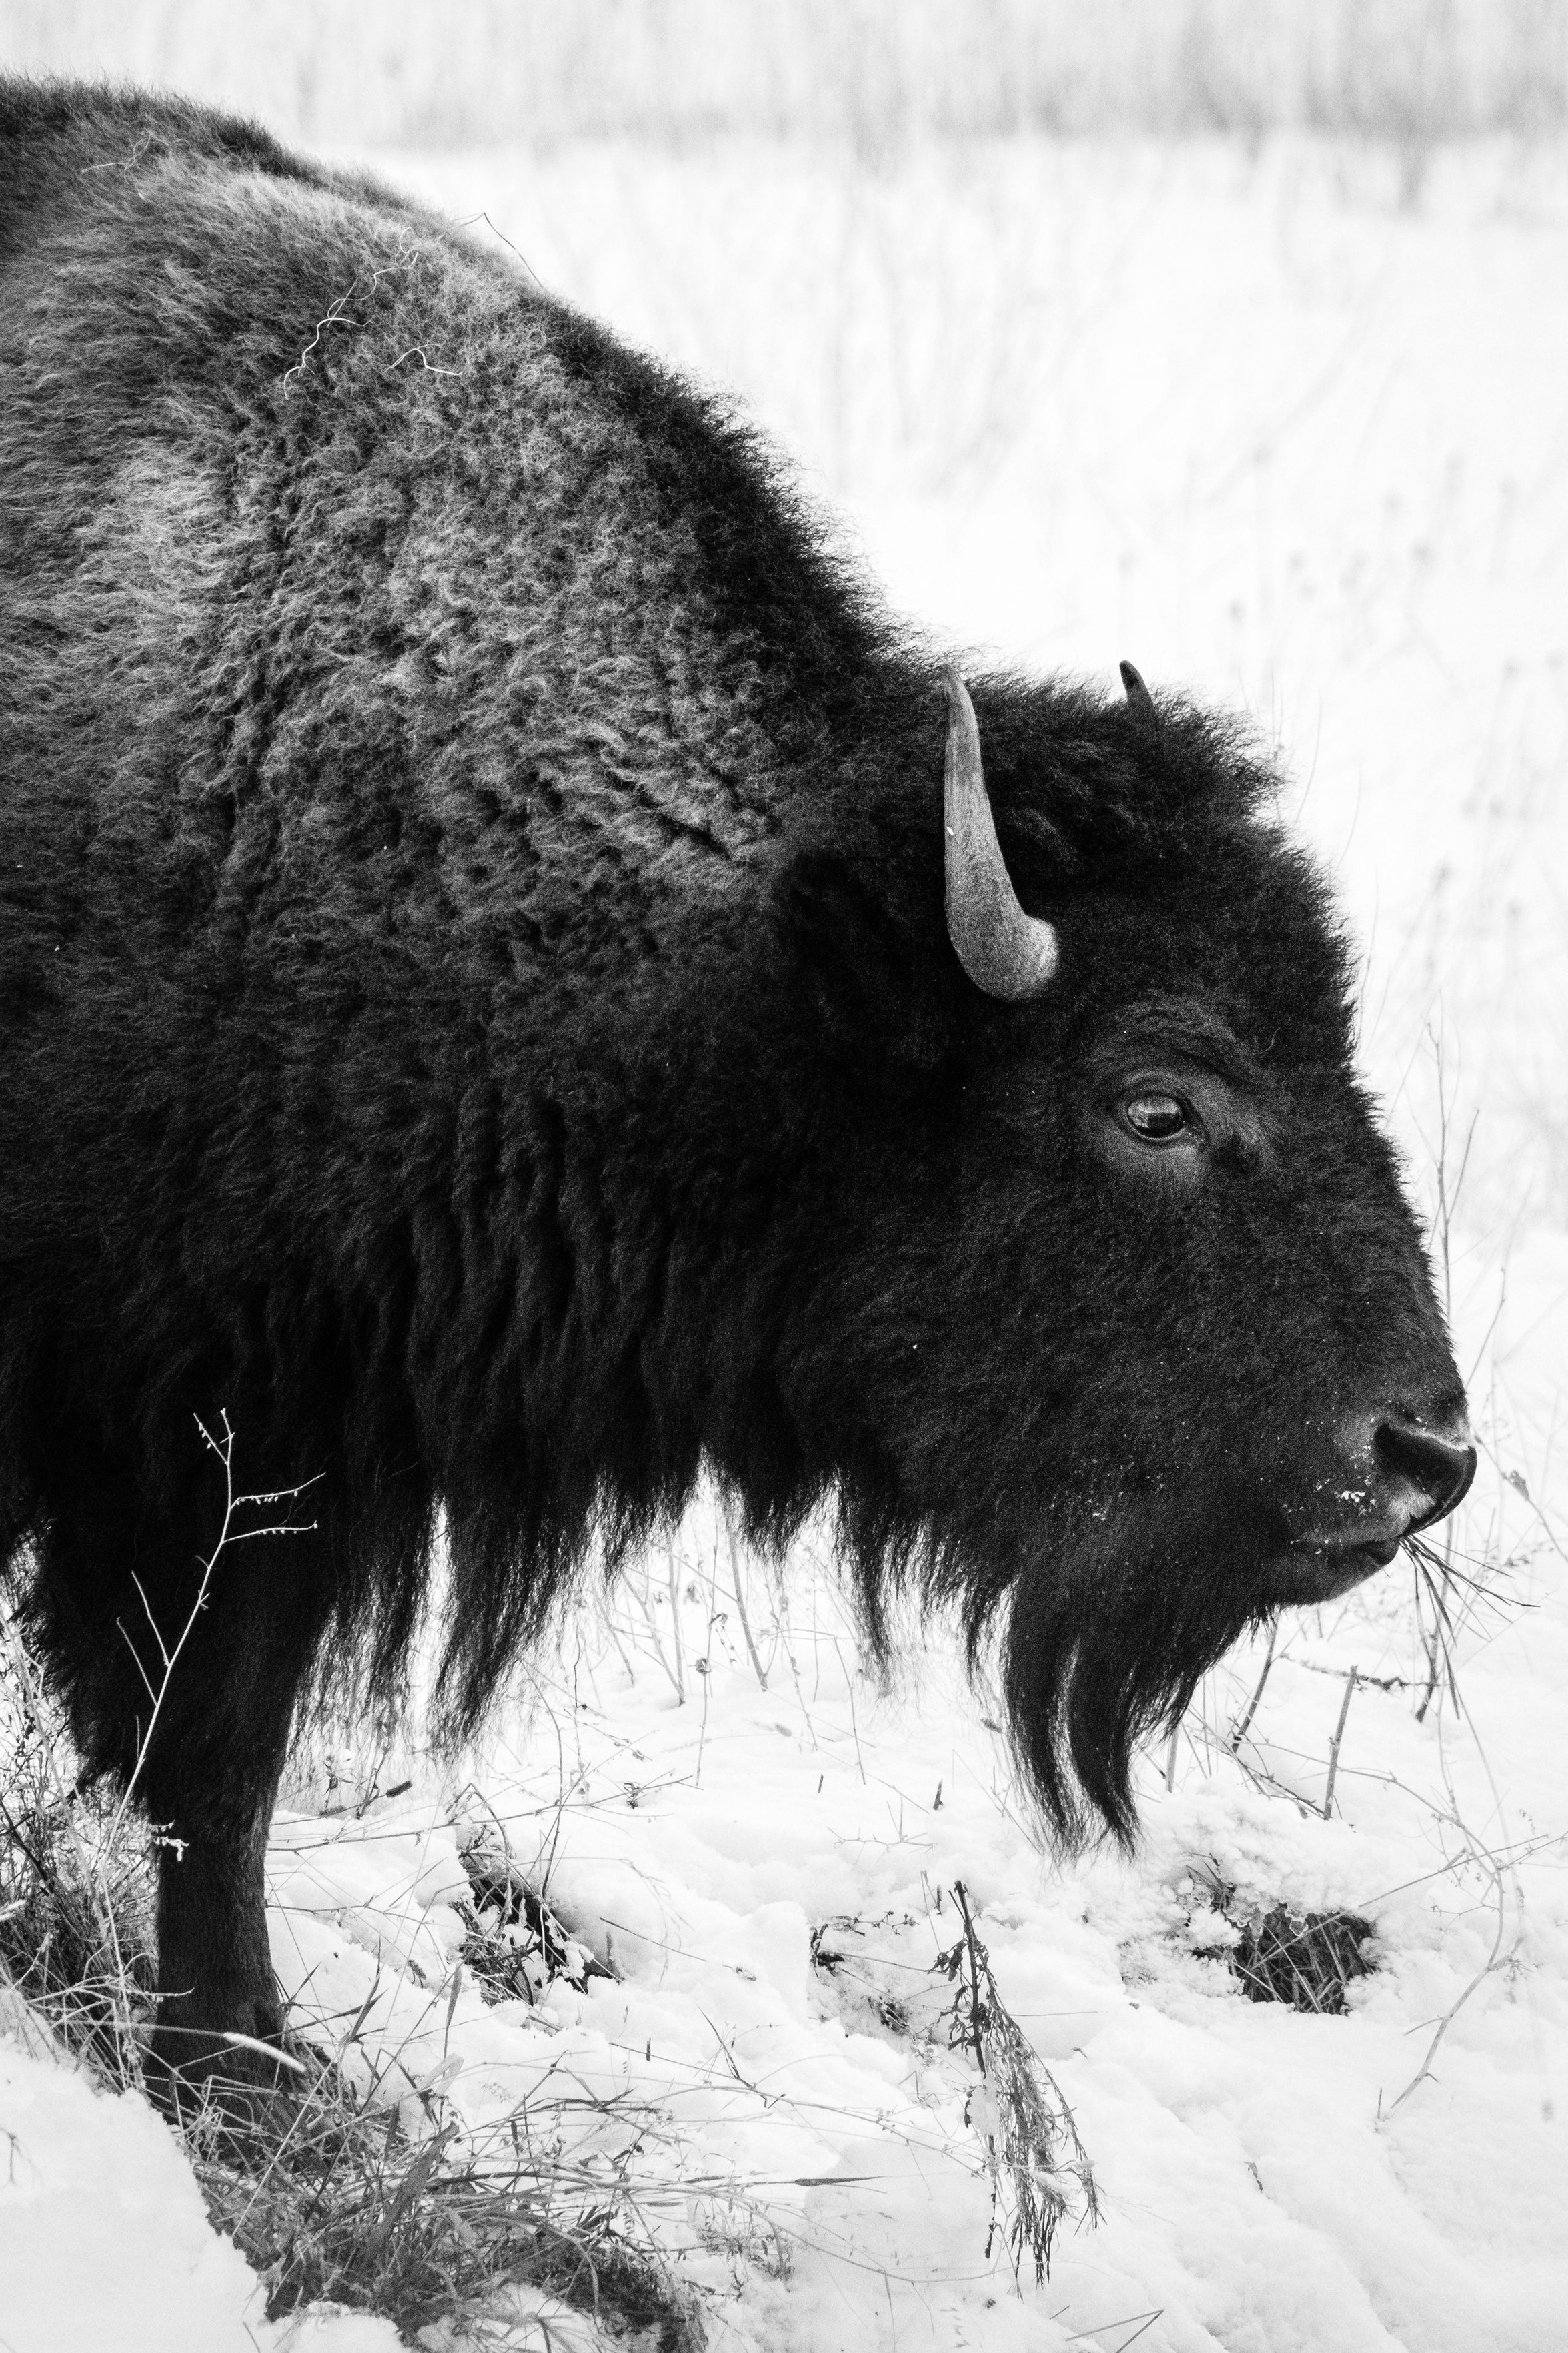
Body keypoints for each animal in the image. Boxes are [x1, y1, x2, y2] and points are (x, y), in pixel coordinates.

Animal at [0, 83, 1476, 2089]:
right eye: (1154, 1101)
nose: (1422, 1453)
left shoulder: (275, 1443)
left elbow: (210, 1764)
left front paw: (246, 2054)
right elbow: (191, 1749)